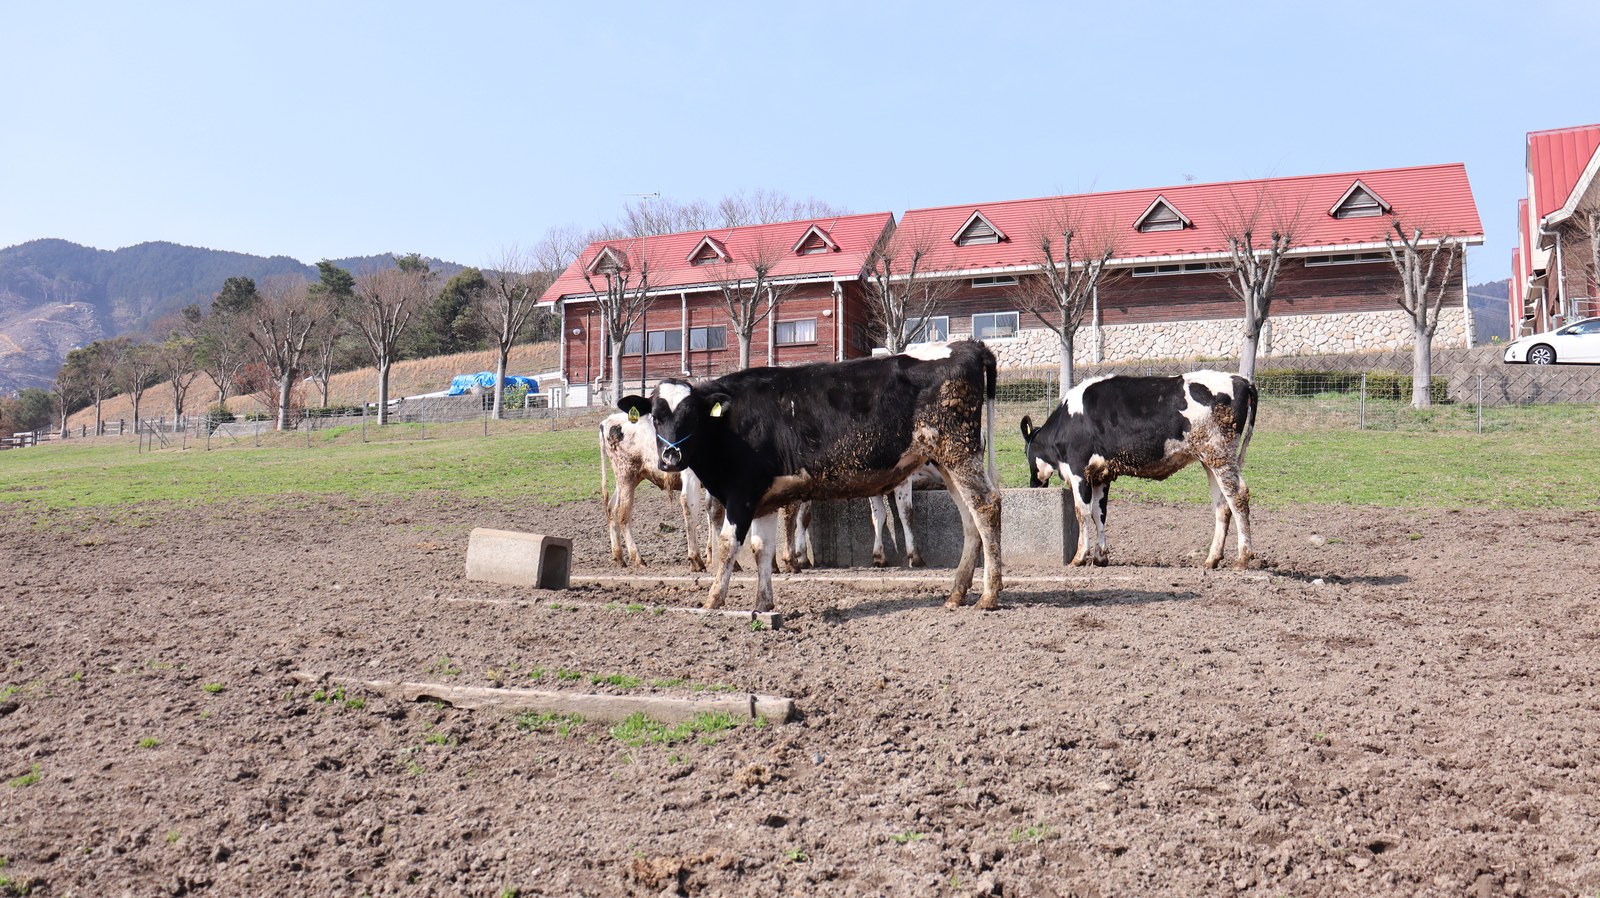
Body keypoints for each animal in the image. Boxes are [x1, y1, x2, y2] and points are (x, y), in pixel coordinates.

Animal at [598, 411, 708, 571]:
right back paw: (638, 558)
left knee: (611, 508)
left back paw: (619, 557)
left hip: (630, 479)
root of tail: (608, 420)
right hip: (626, 475)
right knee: (622, 513)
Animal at [618, 339, 1003, 612]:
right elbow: (761, 548)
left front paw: (713, 601)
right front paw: (763, 604)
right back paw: (956, 593)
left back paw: (989, 596)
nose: (670, 457)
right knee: (969, 518)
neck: (730, 422)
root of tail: (968, 345)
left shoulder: (743, 492)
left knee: (986, 506)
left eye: (692, 416)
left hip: (958, 451)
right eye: (656, 416)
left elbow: (729, 544)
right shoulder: (764, 498)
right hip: (947, 459)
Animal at [1020, 370, 1257, 570]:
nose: (1033, 484)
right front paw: (1100, 557)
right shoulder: (1101, 475)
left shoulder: (1079, 469)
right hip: (1210, 459)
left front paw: (1079, 557)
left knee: (1238, 496)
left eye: (1025, 452)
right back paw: (1212, 559)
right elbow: (1099, 513)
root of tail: (1241, 379)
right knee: (1222, 505)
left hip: (1220, 454)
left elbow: (1082, 512)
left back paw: (1243, 558)